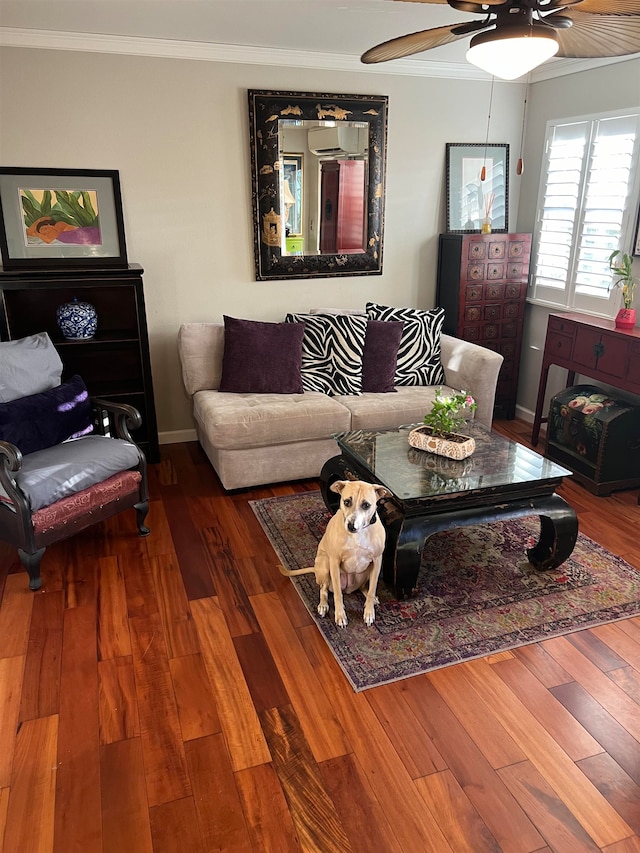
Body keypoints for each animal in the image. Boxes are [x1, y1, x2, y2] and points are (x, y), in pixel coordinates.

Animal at [280, 480, 390, 624]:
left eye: (366, 505)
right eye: (347, 502)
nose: (351, 526)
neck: (358, 534)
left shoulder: (377, 561)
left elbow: (372, 589)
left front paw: (369, 612)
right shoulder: (334, 561)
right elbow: (338, 593)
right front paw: (340, 615)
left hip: (366, 572)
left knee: (363, 587)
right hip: (325, 565)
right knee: (324, 589)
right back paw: (323, 605)